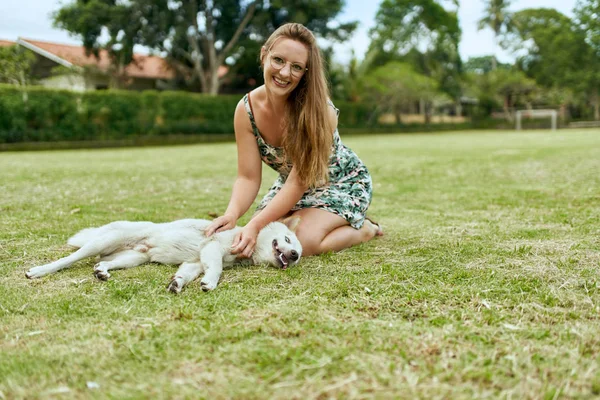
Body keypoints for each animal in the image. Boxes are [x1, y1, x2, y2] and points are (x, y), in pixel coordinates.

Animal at [25, 217, 302, 292]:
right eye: (288, 239)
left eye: (298, 251)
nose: (295, 255)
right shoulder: (212, 248)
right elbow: (216, 269)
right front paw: (211, 283)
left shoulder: (195, 261)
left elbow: (186, 274)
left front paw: (177, 283)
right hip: (103, 241)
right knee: (68, 259)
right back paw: (38, 271)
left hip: (132, 258)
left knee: (103, 262)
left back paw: (101, 272)